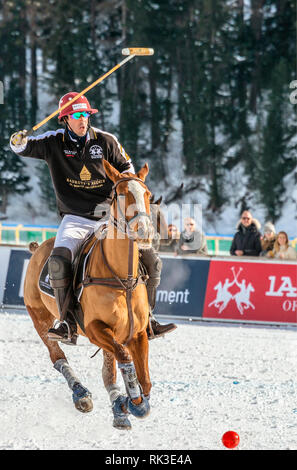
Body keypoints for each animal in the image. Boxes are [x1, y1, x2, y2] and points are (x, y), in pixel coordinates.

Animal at [23, 161, 153, 430]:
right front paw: (132, 401)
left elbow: (144, 379)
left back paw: (118, 410)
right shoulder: (94, 328)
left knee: (107, 371)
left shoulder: (136, 333)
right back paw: (81, 395)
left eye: (147, 195)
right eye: (121, 194)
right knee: (57, 355)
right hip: (39, 317)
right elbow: (125, 358)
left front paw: (131, 403)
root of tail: (38, 248)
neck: (122, 279)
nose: (144, 232)